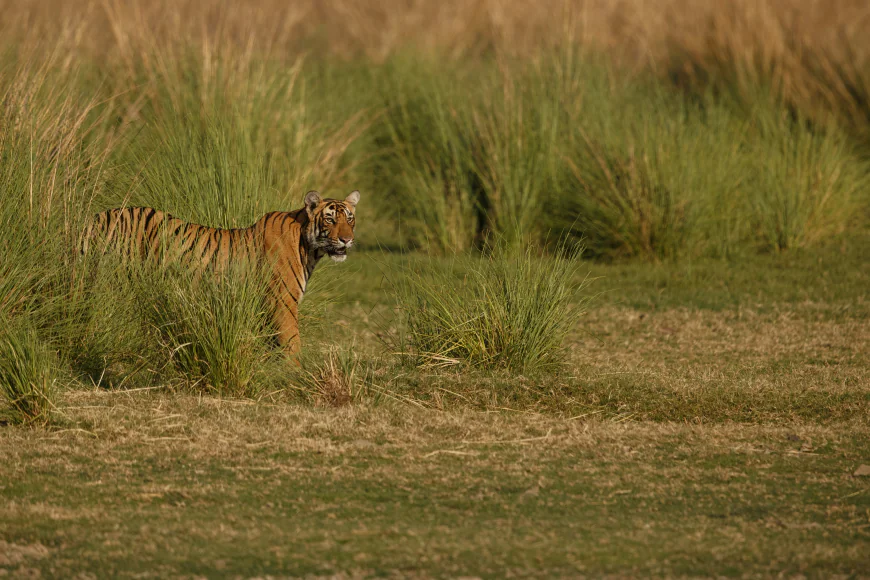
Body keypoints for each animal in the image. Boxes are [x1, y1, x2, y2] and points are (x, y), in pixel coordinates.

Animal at [81, 190, 360, 354]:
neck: (309, 248)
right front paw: (295, 378)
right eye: (330, 220)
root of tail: (94, 218)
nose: (347, 240)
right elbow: (293, 346)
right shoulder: (282, 304)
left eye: (350, 219)